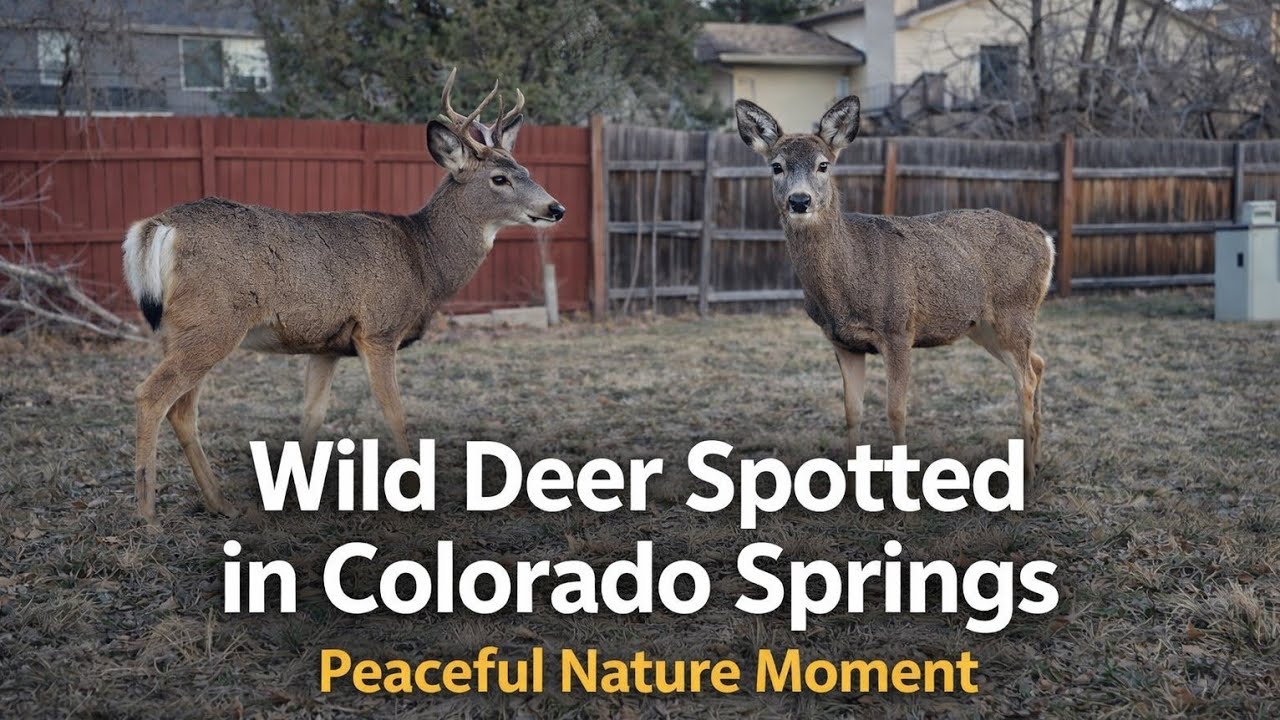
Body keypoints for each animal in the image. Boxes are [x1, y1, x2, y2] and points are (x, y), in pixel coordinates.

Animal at [122, 70, 565, 520]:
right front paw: (417, 498)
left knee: (181, 410)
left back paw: (220, 503)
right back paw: (148, 516)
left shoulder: (326, 346)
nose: (555, 208)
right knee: (152, 396)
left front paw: (294, 497)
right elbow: (394, 412)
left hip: (183, 329)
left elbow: (312, 417)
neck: (424, 259)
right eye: (499, 179)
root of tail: (160, 225)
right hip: (213, 321)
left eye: (526, 169)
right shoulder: (379, 329)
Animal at [734, 96, 1054, 478]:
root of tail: (1043, 237)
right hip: (983, 325)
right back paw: (1037, 457)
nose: (800, 200)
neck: (849, 281)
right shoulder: (843, 341)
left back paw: (1028, 472)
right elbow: (852, 412)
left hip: (1014, 311)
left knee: (1026, 379)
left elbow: (896, 412)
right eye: (776, 166)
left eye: (823, 165)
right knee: (1038, 362)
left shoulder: (899, 330)